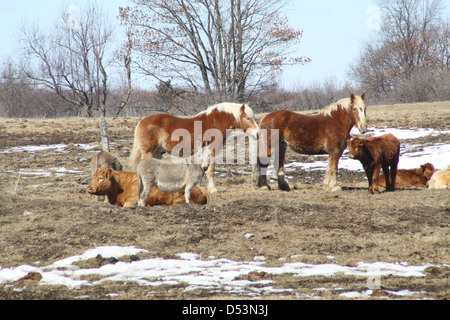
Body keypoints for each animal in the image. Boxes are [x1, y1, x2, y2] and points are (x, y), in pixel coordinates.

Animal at [128, 102, 258, 192]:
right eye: (247, 118)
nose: (257, 133)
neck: (215, 122)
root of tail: (141, 122)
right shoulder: (212, 150)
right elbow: (210, 170)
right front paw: (212, 189)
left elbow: (203, 169)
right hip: (148, 152)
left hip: (157, 154)